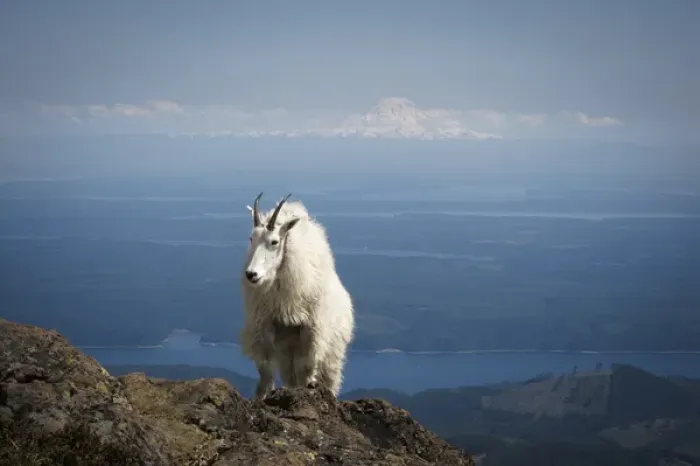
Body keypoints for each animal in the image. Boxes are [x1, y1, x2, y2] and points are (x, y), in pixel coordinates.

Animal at [240, 192, 355, 399]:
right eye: (251, 238)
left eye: (274, 241)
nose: (252, 274)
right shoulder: (263, 326)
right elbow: (265, 369)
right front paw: (261, 397)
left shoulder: (312, 330)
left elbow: (306, 368)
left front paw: (308, 391)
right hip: (287, 353)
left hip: (333, 351)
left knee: (327, 377)